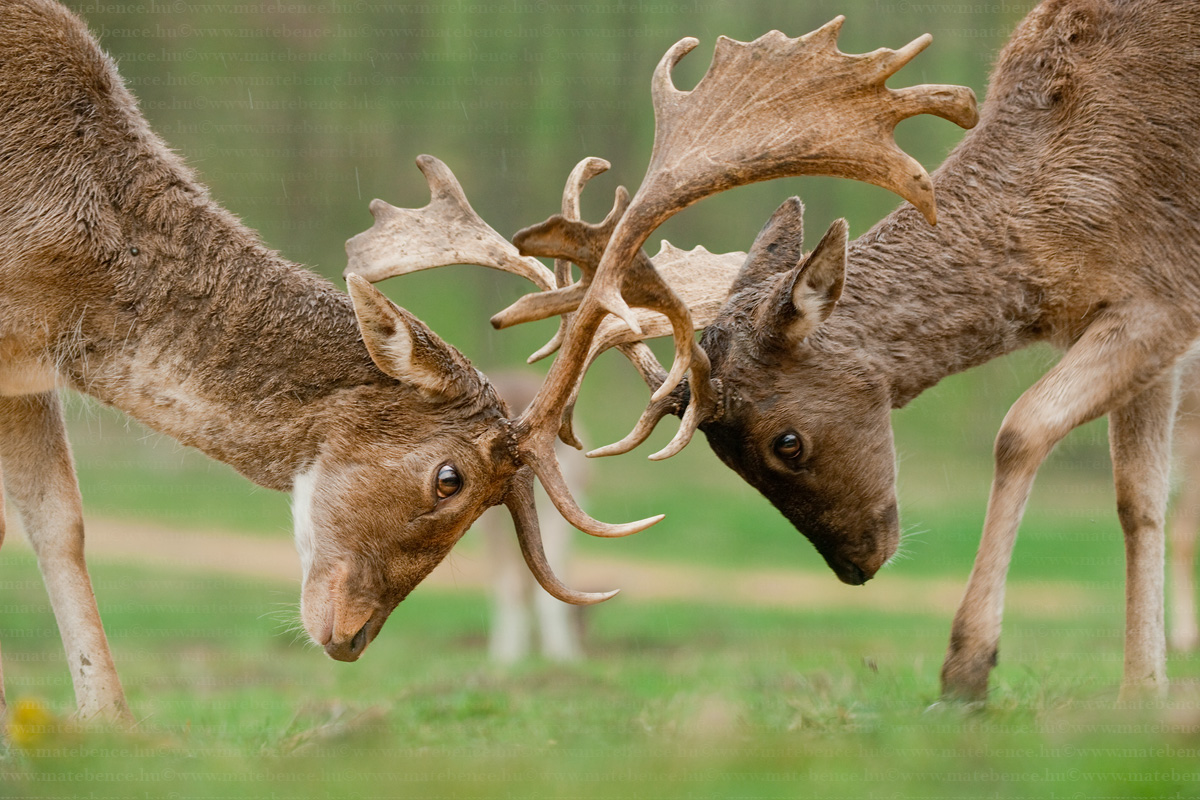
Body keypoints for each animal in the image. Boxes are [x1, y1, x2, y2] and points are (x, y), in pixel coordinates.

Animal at [352, 0, 1198, 704]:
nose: (857, 565)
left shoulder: (1162, 293)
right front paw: (1143, 695)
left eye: (785, 441)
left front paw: (967, 672)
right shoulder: (1146, 317)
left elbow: (1021, 431)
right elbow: (1138, 499)